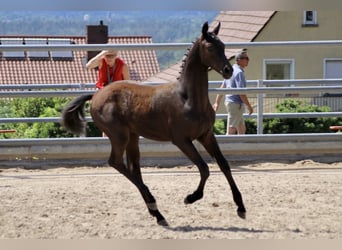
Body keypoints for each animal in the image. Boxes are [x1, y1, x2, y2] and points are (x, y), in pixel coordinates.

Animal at [61, 22, 246, 227]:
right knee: (115, 162)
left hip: (132, 137)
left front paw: (241, 207)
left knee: (133, 168)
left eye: (223, 46)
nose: (228, 70)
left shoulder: (206, 135)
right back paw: (153, 204)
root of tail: (96, 96)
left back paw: (157, 213)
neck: (188, 99)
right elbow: (204, 168)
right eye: (210, 48)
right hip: (118, 135)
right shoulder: (181, 140)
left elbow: (224, 165)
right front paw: (190, 198)